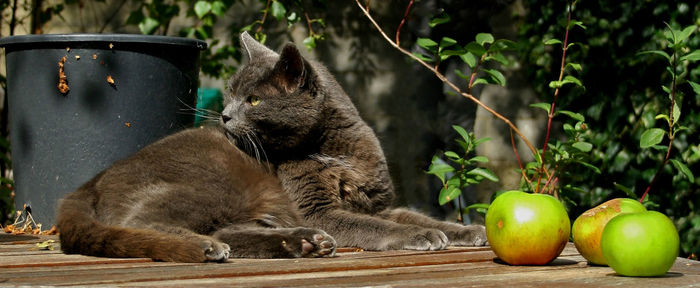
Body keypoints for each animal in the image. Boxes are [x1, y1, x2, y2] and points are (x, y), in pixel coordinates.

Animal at [224, 32, 486, 251]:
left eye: (254, 100)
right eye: (230, 94)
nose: (225, 114)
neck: (334, 150)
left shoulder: (378, 206)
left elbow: (417, 217)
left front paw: (467, 231)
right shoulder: (316, 213)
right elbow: (374, 226)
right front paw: (420, 234)